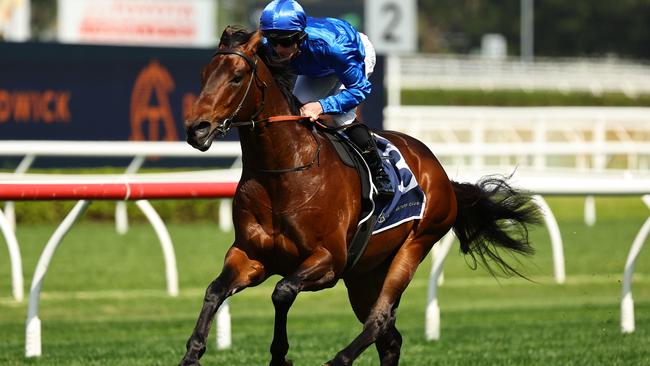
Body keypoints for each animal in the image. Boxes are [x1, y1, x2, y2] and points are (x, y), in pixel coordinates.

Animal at [180, 25, 540, 366]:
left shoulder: (329, 260)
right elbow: (215, 290)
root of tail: (439, 172)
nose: (196, 128)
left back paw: (338, 360)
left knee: (379, 321)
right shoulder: (251, 255)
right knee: (390, 338)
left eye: (236, 77)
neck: (284, 172)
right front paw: (192, 354)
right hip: (364, 274)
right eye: (204, 75)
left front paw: (280, 355)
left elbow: (282, 292)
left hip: (414, 246)